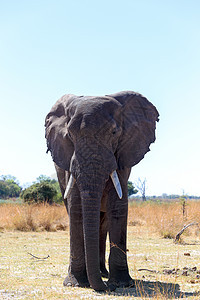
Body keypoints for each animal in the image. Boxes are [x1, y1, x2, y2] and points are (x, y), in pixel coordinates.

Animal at [44, 89, 159, 290]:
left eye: (114, 132)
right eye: (70, 135)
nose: (106, 288)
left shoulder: (122, 155)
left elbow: (118, 206)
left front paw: (122, 283)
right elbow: (76, 208)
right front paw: (75, 283)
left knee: (102, 224)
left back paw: (103, 274)